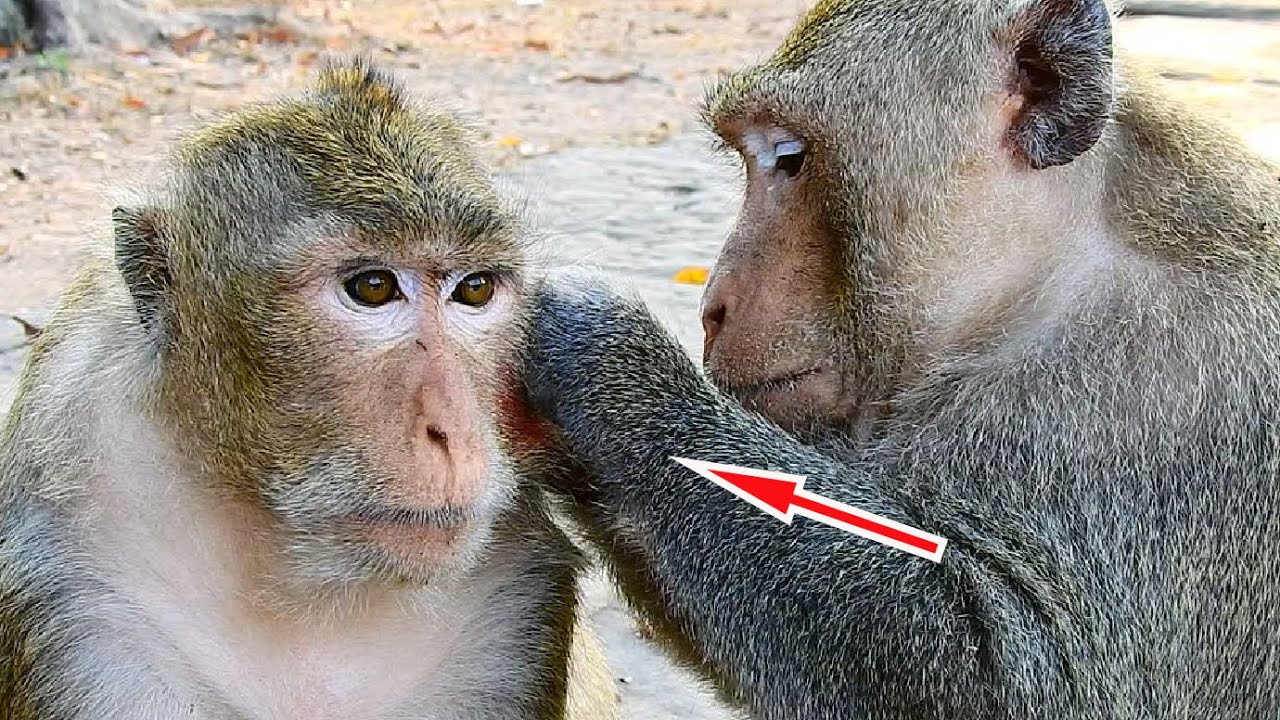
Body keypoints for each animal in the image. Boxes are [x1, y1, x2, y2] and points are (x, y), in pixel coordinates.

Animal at [512, 0, 1280, 718]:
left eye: (789, 156)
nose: (712, 305)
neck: (1042, 282)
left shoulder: (1163, 405)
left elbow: (1016, 682)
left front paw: (598, 353)